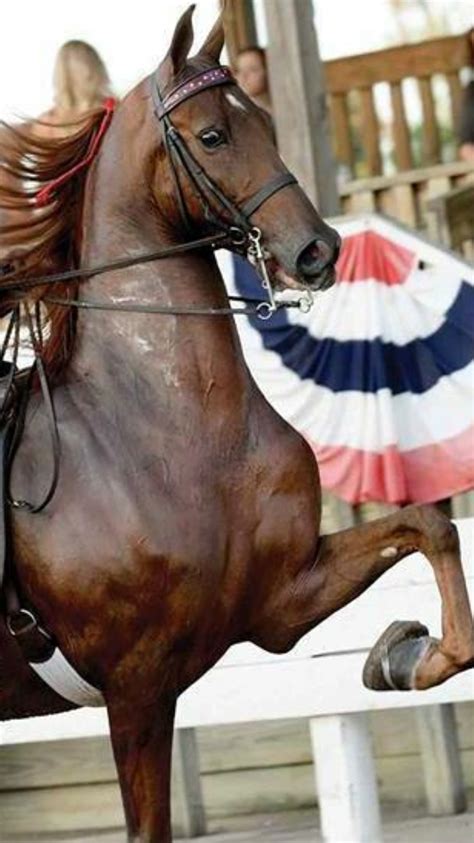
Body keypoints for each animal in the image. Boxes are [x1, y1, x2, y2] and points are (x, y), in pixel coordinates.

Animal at [0, 7, 472, 842]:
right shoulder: (137, 685)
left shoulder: (280, 600)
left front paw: (406, 655)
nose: (319, 249)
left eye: (266, 124)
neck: (180, 428)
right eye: (214, 135)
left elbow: (428, 524)